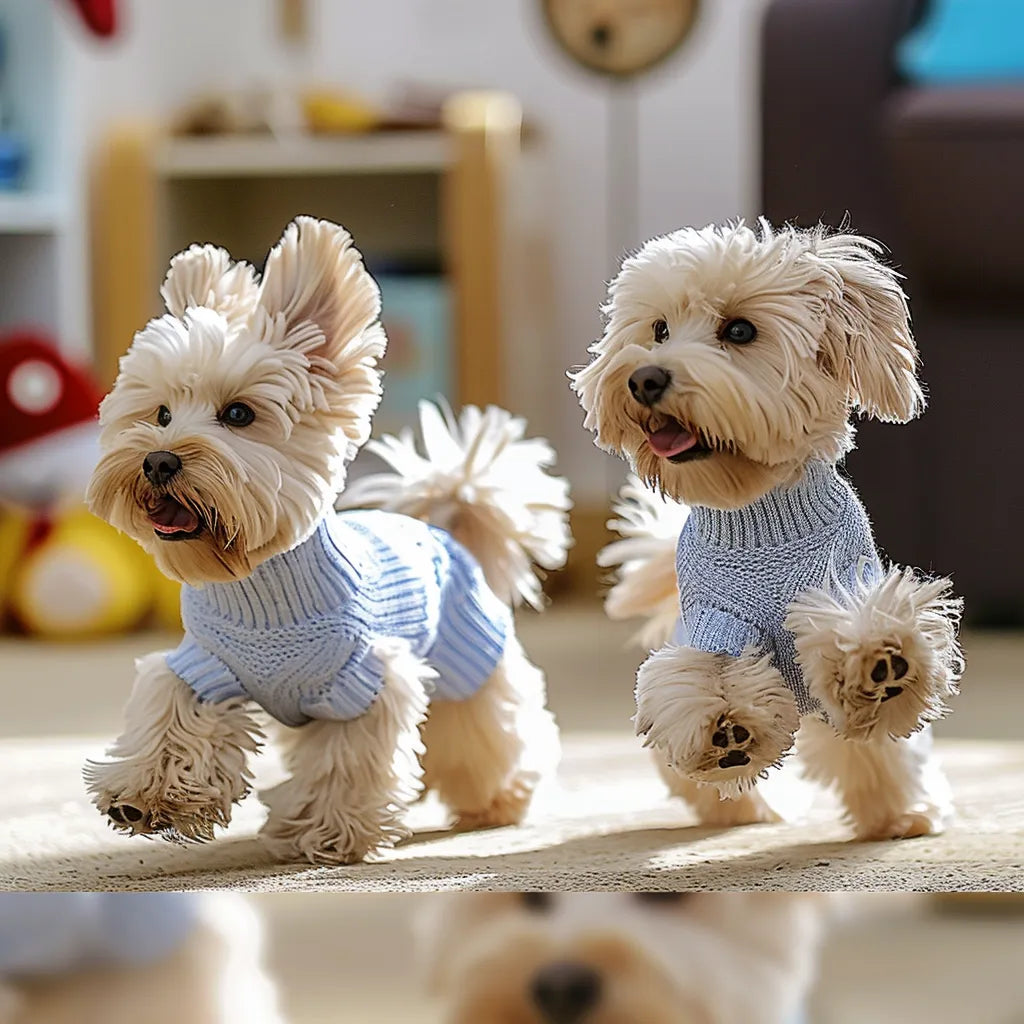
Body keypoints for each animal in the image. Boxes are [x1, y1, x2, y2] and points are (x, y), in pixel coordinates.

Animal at [84, 216, 573, 864]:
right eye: (161, 414)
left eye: (238, 415)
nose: (158, 460)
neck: (259, 586)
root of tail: (446, 526)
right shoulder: (205, 663)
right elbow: (170, 710)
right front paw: (144, 794)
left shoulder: (364, 682)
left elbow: (347, 761)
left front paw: (325, 831)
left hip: (472, 669)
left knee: (494, 736)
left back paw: (503, 799)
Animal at [573, 222, 962, 839]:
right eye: (658, 329)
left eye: (739, 330)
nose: (643, 377)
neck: (760, 519)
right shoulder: (715, 619)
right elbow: (706, 674)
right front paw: (728, 726)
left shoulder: (840, 579)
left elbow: (859, 618)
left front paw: (880, 655)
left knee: (878, 754)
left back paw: (903, 809)